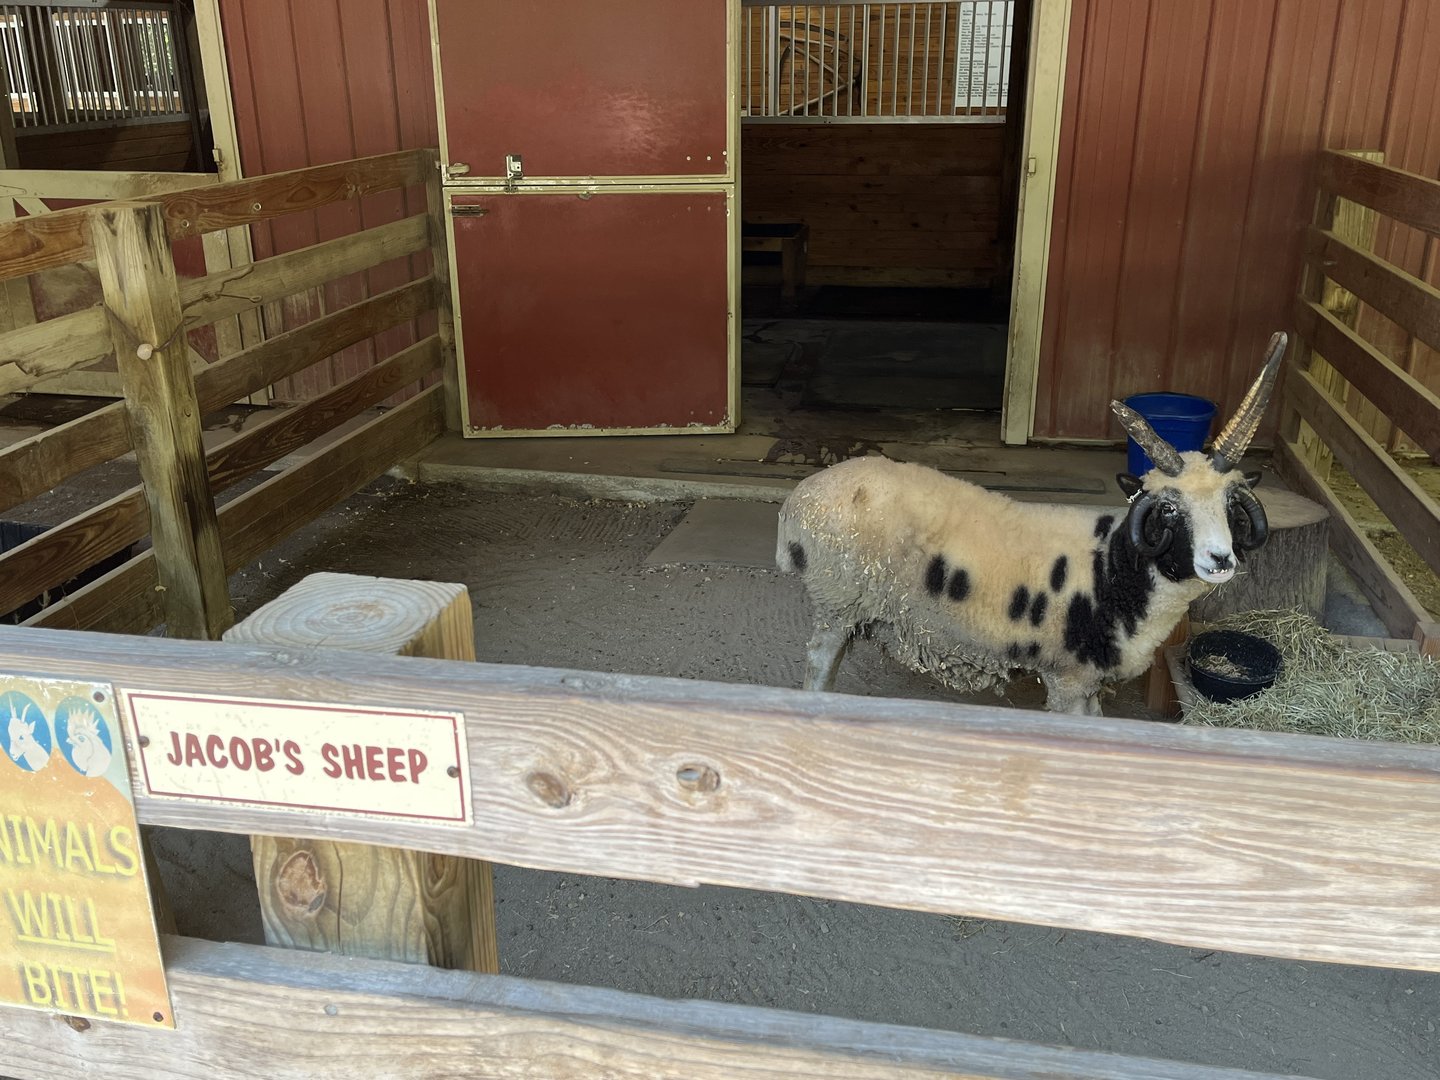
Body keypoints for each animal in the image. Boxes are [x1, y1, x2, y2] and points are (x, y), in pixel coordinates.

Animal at [776, 332, 1287, 715]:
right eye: (1167, 509)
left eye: (1232, 504)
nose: (1220, 560)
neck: (1115, 568)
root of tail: (800, 500)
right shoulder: (1067, 677)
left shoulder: (1090, 681)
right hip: (837, 600)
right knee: (818, 666)